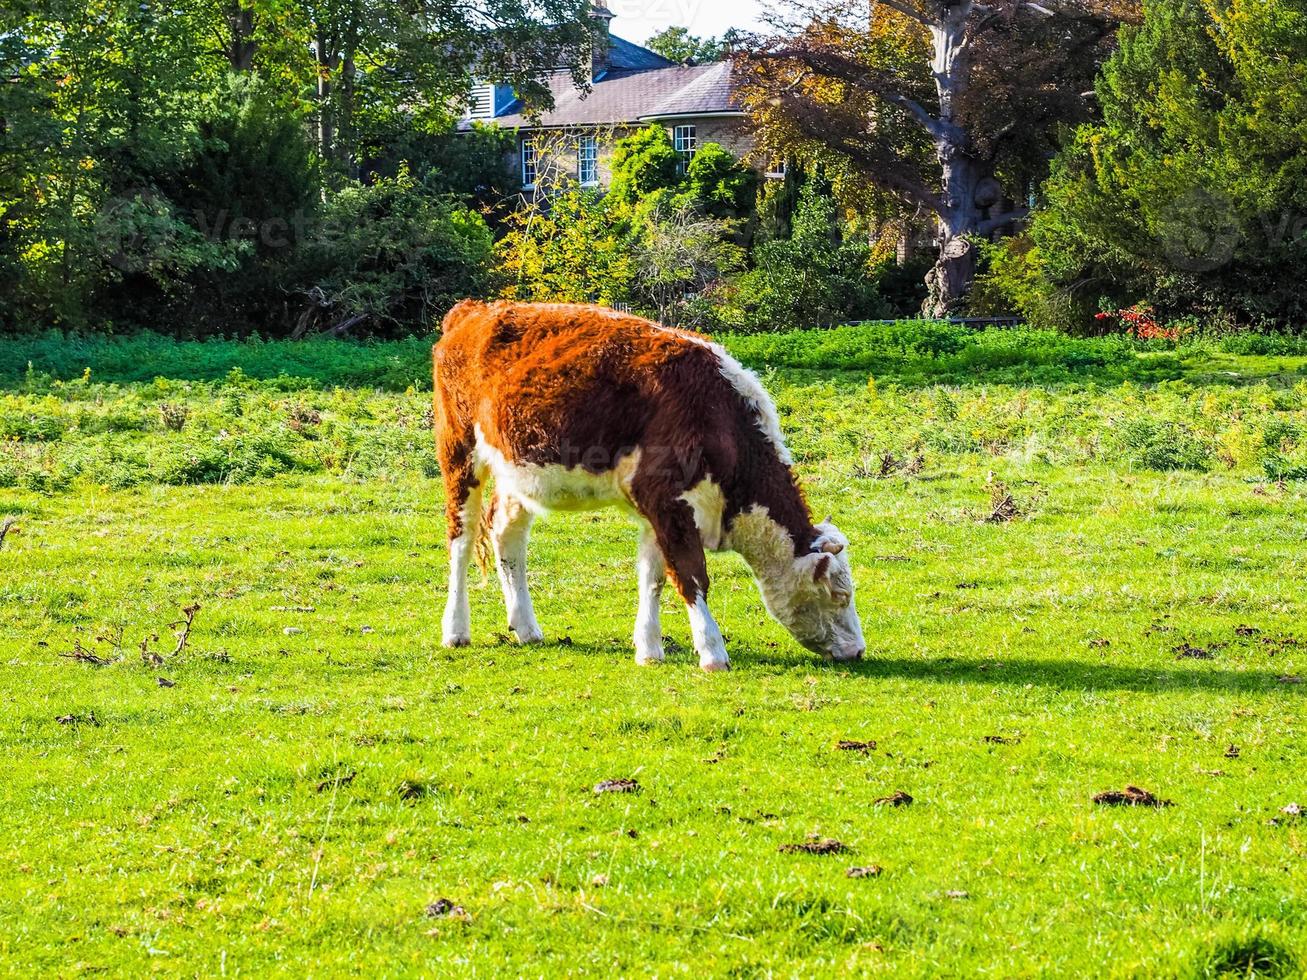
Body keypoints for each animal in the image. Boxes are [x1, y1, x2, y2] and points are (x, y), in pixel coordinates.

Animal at [433, 303, 867, 674]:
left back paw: (526, 627)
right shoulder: (667, 499)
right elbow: (692, 576)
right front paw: (712, 653)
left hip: (517, 470)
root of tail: (473, 310)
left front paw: (649, 649)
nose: (858, 651)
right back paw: (455, 630)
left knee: (506, 533)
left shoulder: (657, 506)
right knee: (461, 538)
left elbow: (653, 576)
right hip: (459, 450)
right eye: (840, 595)